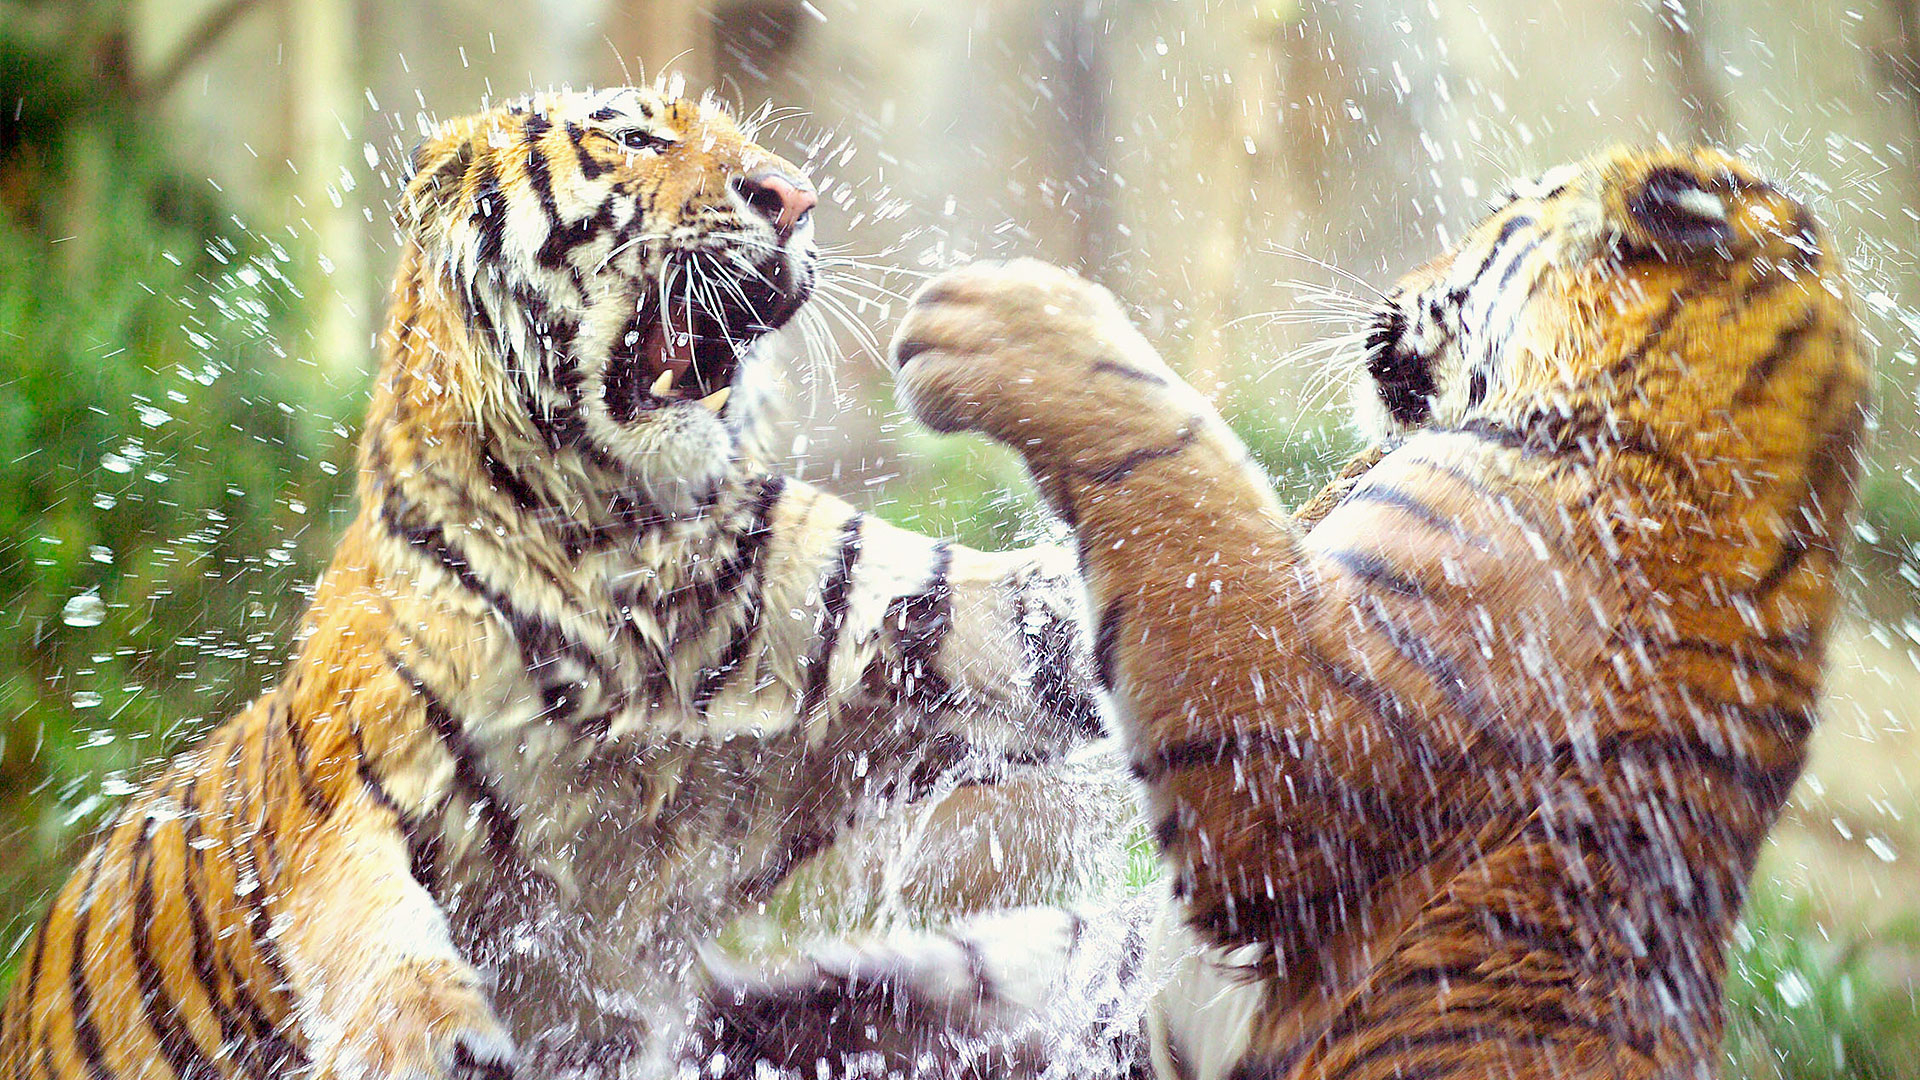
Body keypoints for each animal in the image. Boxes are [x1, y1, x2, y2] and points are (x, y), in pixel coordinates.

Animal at [0, 83, 1104, 1080]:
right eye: (638, 138)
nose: (794, 198)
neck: (621, 545)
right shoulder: (339, 803)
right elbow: (370, 938)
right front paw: (435, 1042)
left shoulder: (906, 613)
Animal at [690, 145, 1869, 1080]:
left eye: (1497, 217)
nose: (1395, 289)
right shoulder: (1112, 974)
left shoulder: (1301, 745)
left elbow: (1178, 474)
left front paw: (1017, 323)